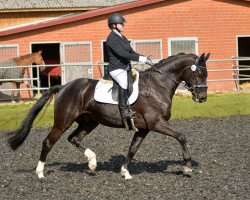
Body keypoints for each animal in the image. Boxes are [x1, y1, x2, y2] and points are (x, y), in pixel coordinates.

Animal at [6, 52, 210, 179]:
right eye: (200, 72)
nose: (202, 98)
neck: (157, 85)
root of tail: (64, 86)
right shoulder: (156, 123)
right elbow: (181, 137)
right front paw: (187, 167)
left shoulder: (144, 128)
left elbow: (132, 149)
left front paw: (125, 172)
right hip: (63, 121)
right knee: (48, 142)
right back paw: (40, 172)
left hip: (89, 122)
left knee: (74, 138)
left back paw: (92, 163)